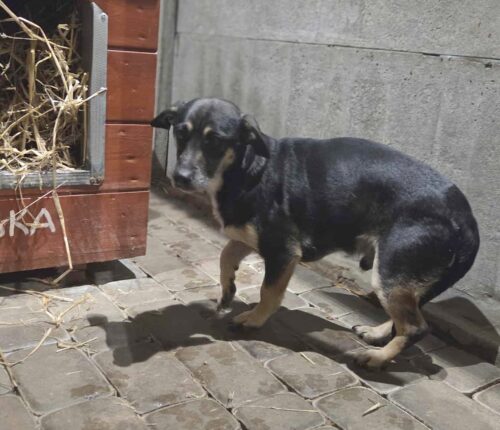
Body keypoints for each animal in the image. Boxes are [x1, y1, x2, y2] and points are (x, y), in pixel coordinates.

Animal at [151, 98, 479, 369]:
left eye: (216, 141)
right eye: (180, 133)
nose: (180, 177)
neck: (249, 167)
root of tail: (467, 218)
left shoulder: (282, 251)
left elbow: (268, 292)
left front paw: (254, 319)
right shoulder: (253, 239)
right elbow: (225, 255)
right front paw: (228, 290)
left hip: (391, 271)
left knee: (416, 327)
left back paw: (377, 357)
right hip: (403, 277)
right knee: (410, 315)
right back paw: (375, 333)